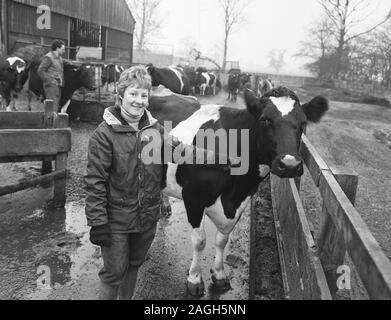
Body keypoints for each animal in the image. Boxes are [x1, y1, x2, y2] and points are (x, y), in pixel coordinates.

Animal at [152, 86, 330, 296]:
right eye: (265, 120)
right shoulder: (193, 198)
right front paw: (194, 279)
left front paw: (219, 275)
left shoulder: (242, 199)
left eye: (303, 123)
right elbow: (200, 241)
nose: (290, 165)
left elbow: (222, 239)